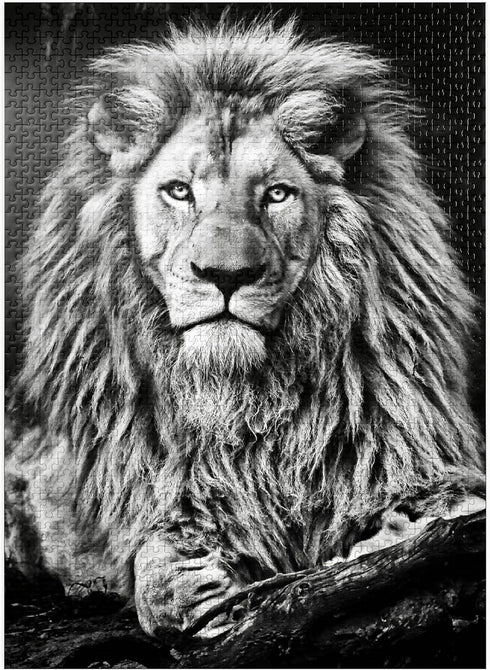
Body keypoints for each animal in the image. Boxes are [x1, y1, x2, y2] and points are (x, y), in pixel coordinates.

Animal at [6, 17, 485, 639]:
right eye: (179, 190)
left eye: (276, 194)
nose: (226, 275)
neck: (244, 400)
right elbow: (148, 564)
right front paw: (193, 583)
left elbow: (447, 512)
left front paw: (385, 536)